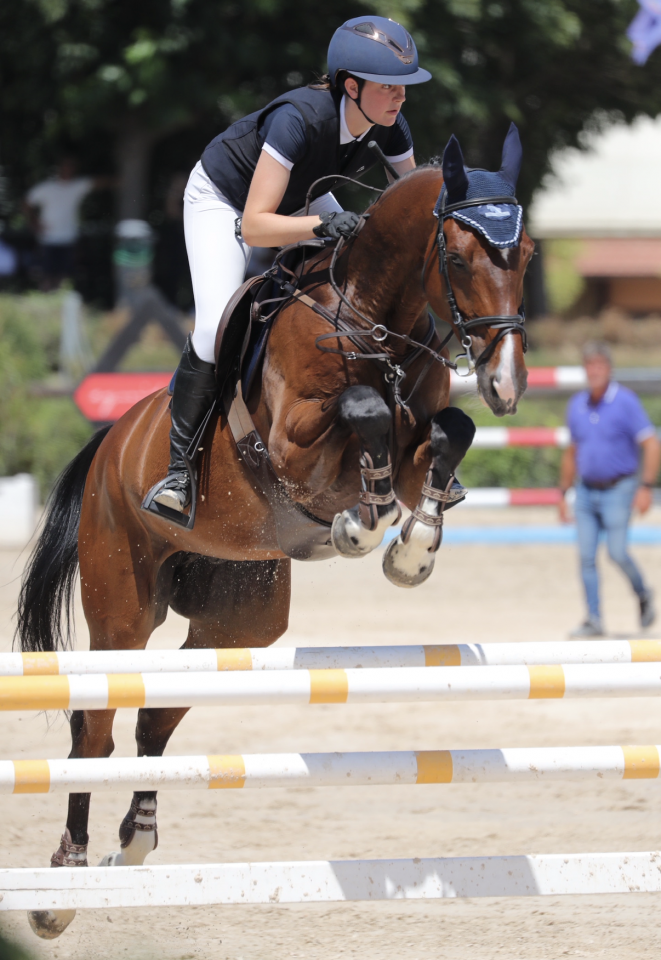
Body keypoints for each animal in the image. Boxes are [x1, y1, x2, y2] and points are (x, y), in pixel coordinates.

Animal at [17, 126, 534, 939]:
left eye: (530, 254)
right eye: (455, 256)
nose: (507, 384)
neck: (370, 320)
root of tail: (111, 442)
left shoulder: (420, 436)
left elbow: (448, 431)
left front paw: (411, 548)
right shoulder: (293, 446)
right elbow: (361, 412)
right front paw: (359, 525)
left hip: (236, 618)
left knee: (156, 719)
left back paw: (135, 843)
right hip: (122, 605)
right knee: (95, 727)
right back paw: (59, 888)